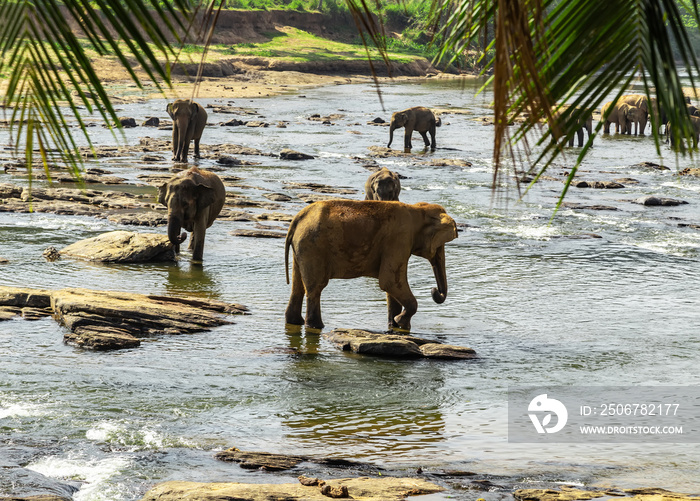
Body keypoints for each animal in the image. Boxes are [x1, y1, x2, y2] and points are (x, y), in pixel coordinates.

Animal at [284, 199, 460, 332]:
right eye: (440, 246)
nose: (434, 290)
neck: (416, 209)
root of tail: (298, 219)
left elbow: (391, 286)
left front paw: (395, 325)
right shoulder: (400, 239)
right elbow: (389, 281)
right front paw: (401, 322)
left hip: (302, 248)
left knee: (297, 286)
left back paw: (295, 321)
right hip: (314, 246)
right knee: (316, 288)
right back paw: (316, 326)